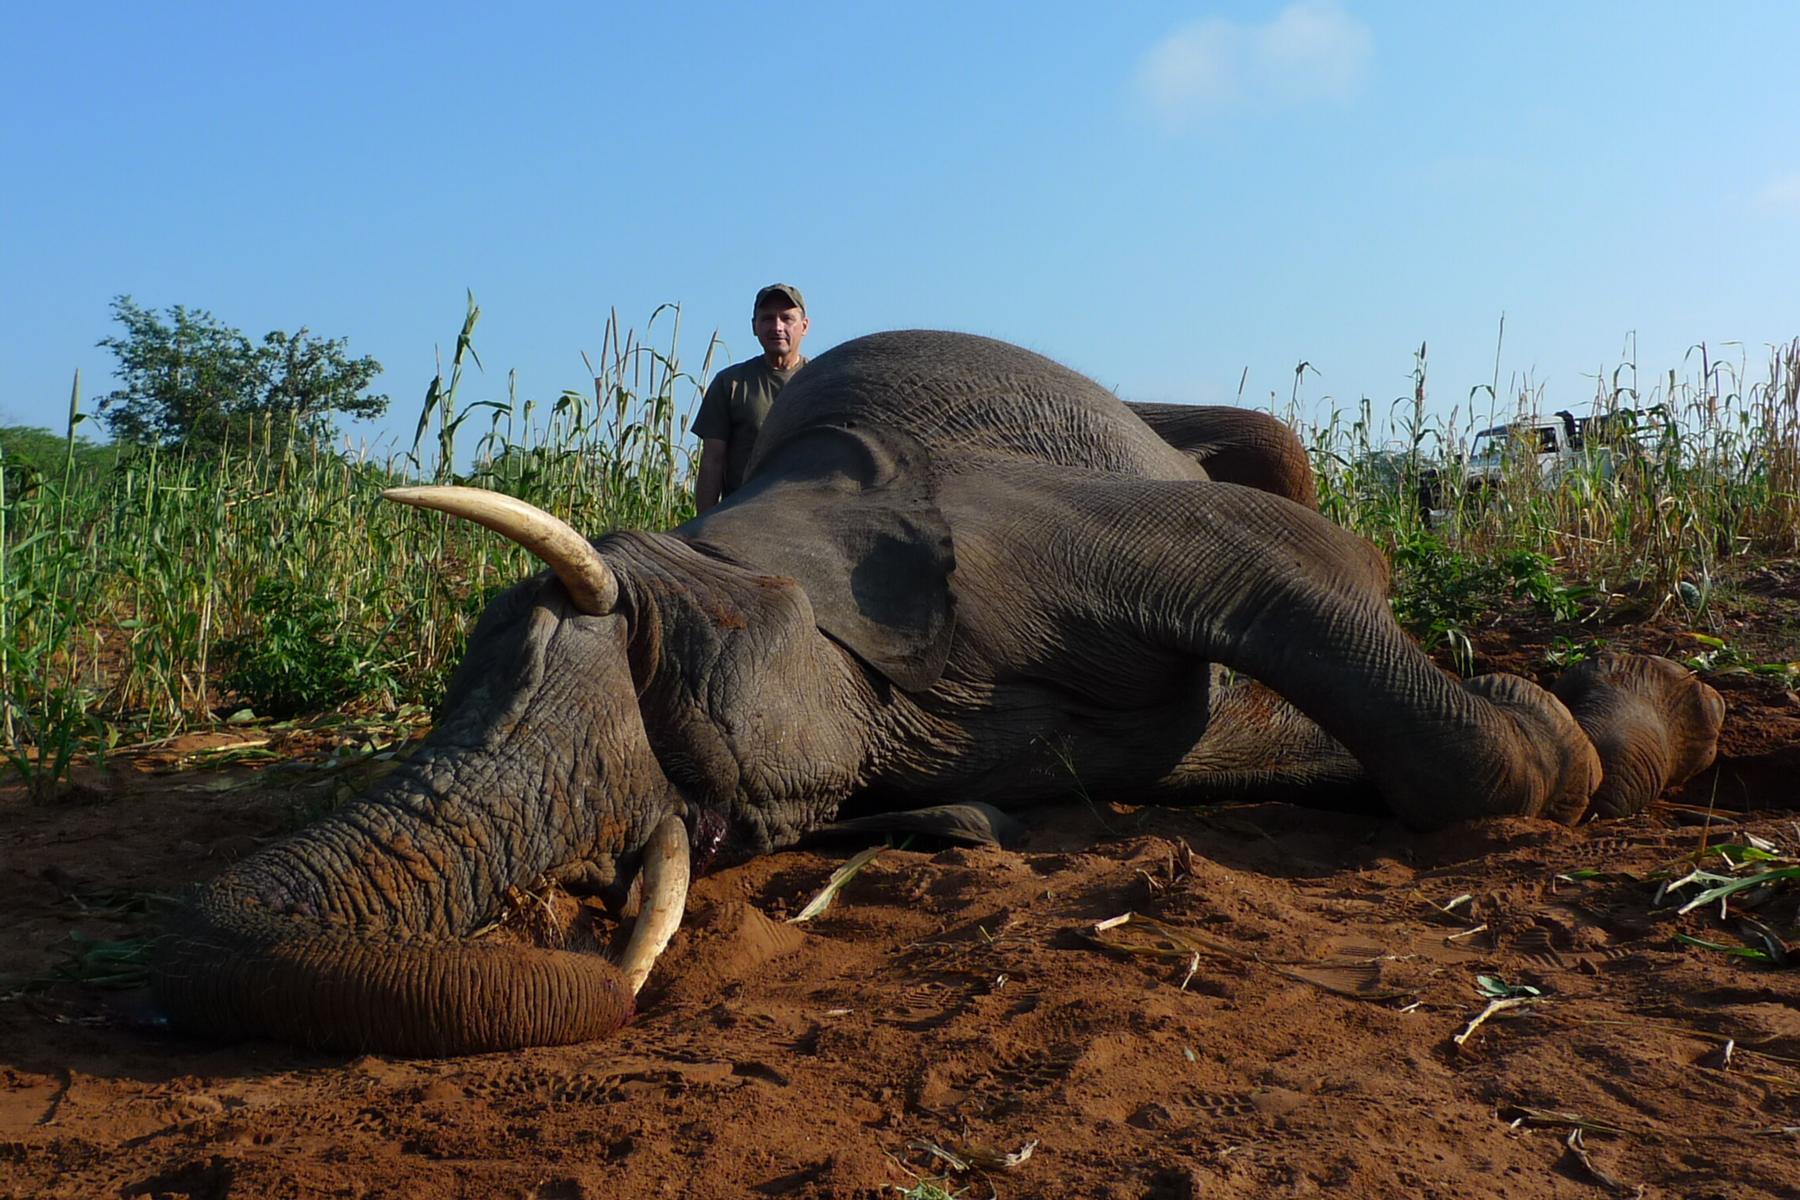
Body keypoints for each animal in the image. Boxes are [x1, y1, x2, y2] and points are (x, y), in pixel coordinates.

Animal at [150, 330, 1724, 1057]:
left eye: (654, 672)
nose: (591, 961)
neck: (758, 551)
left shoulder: (1023, 539)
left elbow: (1306, 590)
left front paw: (1620, 710)